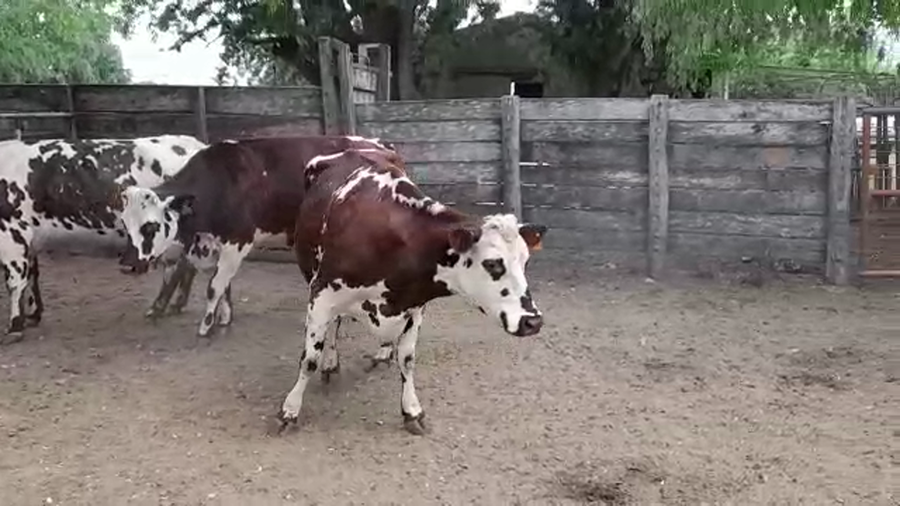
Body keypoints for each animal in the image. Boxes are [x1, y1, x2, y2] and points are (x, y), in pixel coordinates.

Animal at [0, 135, 207, 344]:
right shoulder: (29, 241)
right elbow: (31, 276)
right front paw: (33, 315)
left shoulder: (12, 235)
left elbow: (15, 282)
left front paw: (15, 326)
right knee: (186, 266)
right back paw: (175, 304)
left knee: (176, 268)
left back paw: (159, 307)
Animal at [274, 147, 547, 435]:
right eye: (493, 263)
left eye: (525, 261)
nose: (533, 321)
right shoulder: (321, 293)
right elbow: (309, 359)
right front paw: (290, 410)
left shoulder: (414, 306)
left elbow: (407, 359)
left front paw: (412, 410)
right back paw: (331, 361)